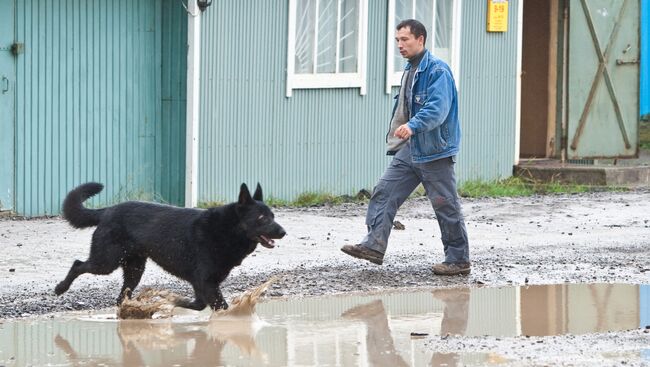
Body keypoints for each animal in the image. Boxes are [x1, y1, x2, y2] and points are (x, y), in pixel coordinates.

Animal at [54, 182, 288, 310]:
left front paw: (174, 301)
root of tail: (108, 210)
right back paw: (60, 288)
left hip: (134, 269)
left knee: (122, 295)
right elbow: (219, 307)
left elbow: (198, 304)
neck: (227, 229)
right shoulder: (207, 283)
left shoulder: (202, 284)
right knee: (78, 264)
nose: (283, 232)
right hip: (105, 262)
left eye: (273, 216)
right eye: (261, 218)